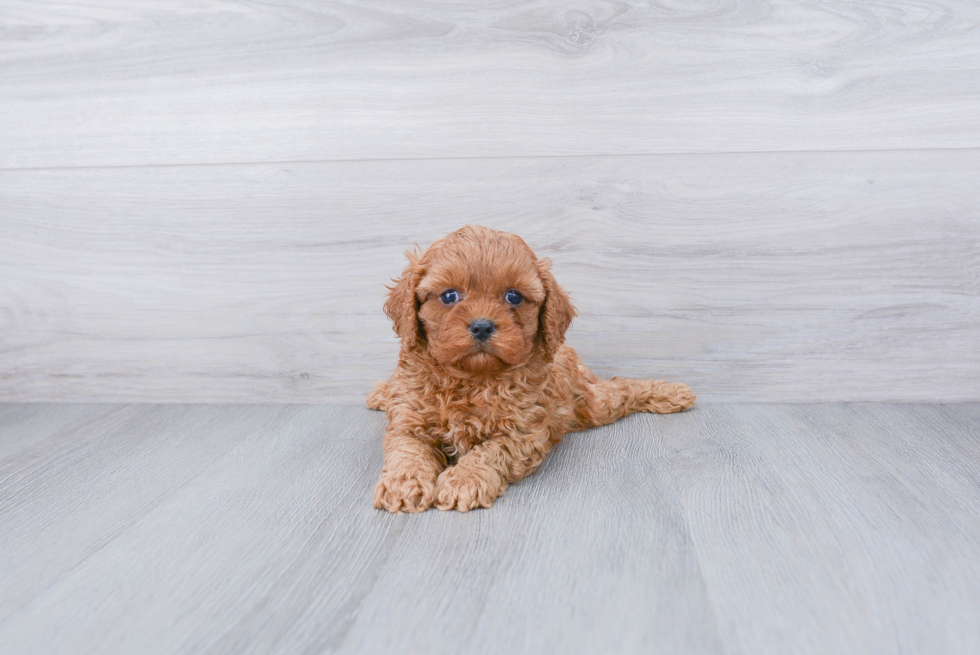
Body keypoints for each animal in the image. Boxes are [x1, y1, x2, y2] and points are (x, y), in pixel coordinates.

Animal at [368, 226, 696, 512]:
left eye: (513, 296)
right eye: (449, 296)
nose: (482, 326)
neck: (472, 378)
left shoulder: (522, 433)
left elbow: (489, 453)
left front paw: (463, 480)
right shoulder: (408, 421)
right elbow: (407, 452)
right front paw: (403, 485)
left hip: (592, 405)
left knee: (621, 390)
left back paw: (672, 392)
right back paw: (381, 392)